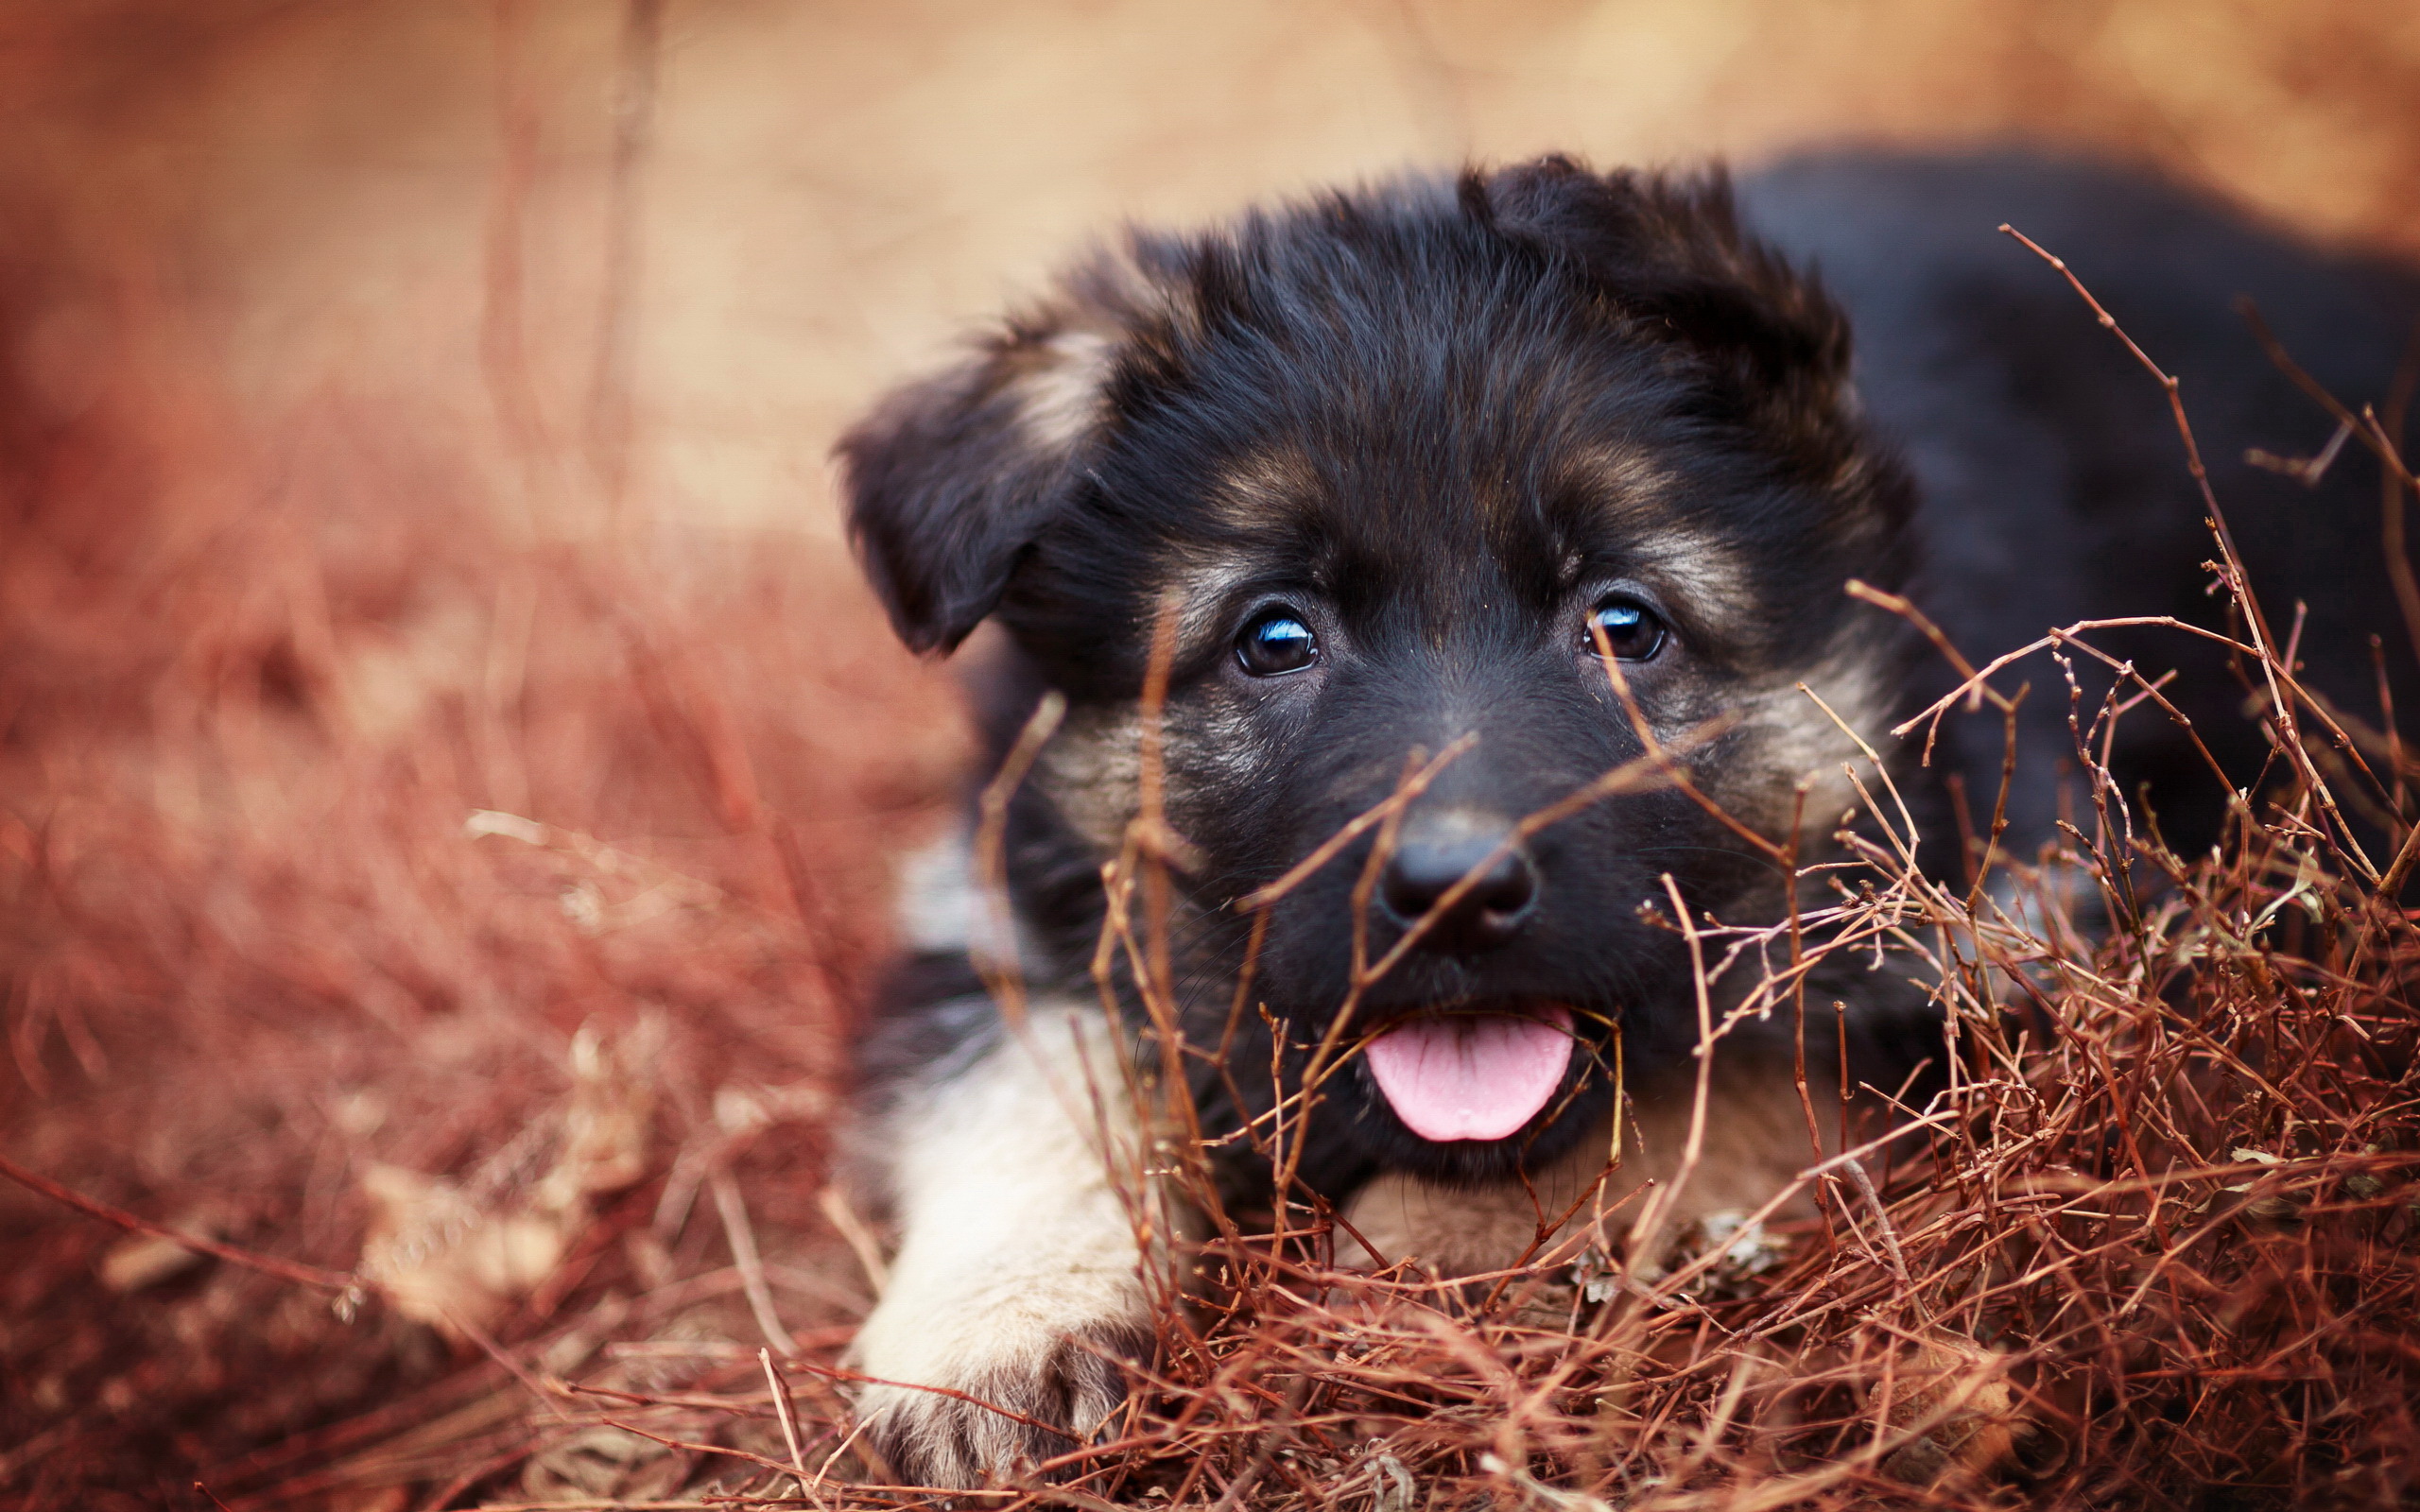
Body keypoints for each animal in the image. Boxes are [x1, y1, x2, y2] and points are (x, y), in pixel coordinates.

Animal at [827, 156, 2420, 1489]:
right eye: (1271, 638)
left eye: (1624, 623)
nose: (1454, 890)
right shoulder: (996, 905)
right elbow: (1030, 1076)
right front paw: (997, 1336)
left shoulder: (1976, 955)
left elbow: (1671, 1104)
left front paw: (1387, 1288)